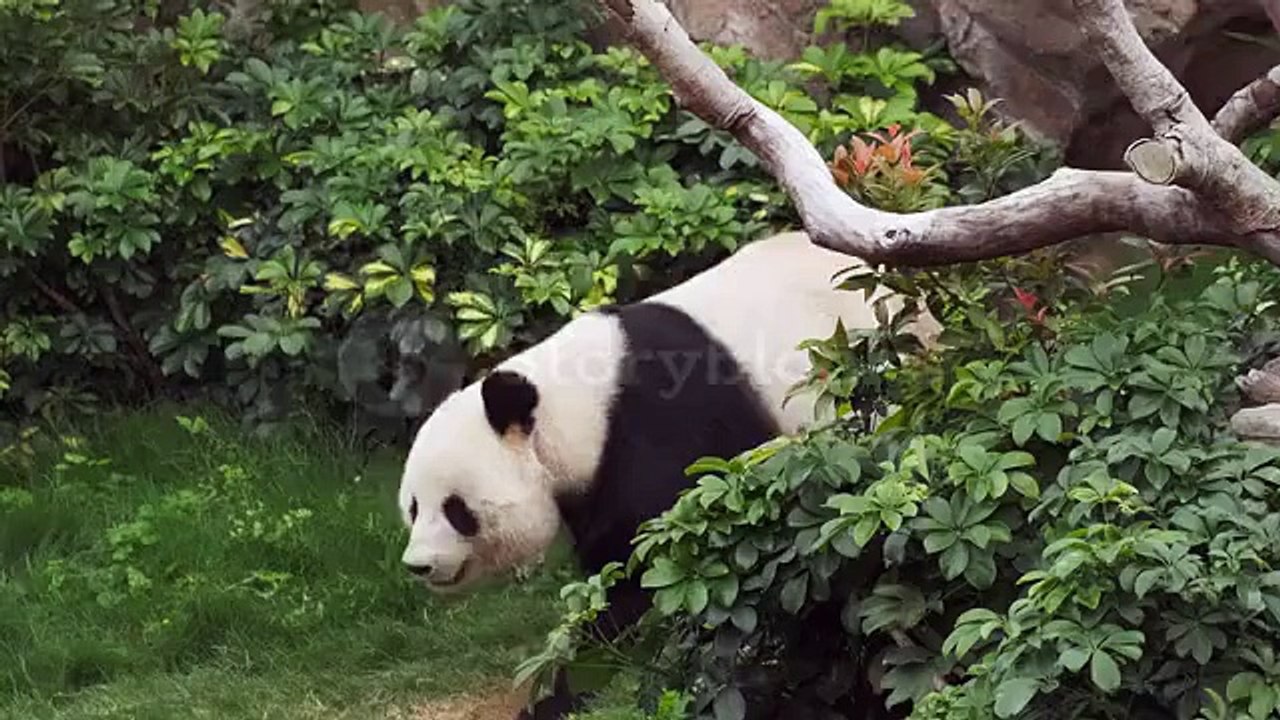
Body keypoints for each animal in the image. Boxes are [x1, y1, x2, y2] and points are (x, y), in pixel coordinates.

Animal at [395, 230, 940, 719]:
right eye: (413, 507)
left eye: (457, 509)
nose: (418, 565)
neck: (574, 405)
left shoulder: (663, 427)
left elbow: (641, 579)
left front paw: (558, 697)